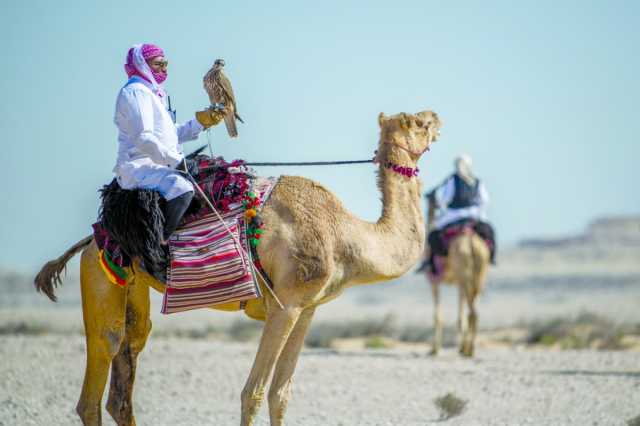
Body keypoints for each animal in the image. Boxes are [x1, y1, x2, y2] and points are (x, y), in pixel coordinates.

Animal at [35, 110, 442, 426]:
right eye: (419, 122)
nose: (438, 117)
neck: (348, 235)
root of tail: (93, 236)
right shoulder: (285, 305)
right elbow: (254, 392)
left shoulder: (307, 309)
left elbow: (281, 393)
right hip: (99, 275)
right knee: (101, 362)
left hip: (131, 285)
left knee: (126, 367)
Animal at [424, 195, 490, 358]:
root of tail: (471, 241)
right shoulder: (458, 284)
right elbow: (460, 318)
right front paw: (460, 347)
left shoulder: (434, 282)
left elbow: (437, 317)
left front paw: (434, 349)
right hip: (479, 274)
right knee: (474, 311)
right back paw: (469, 349)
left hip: (464, 272)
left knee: (472, 312)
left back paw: (469, 350)